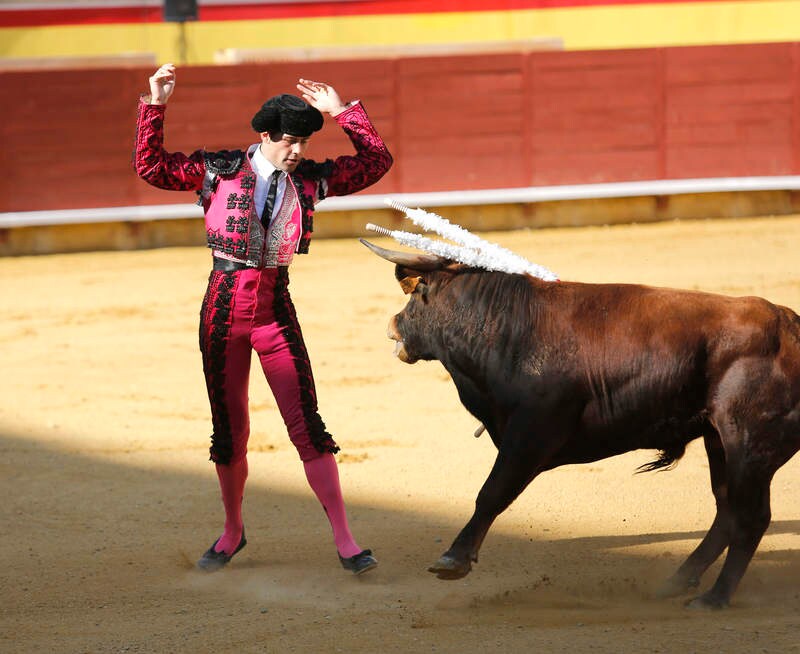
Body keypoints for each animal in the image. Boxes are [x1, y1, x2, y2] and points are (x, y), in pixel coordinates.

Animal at [362, 240, 800, 608]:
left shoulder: (530, 436)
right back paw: (677, 582)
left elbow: (492, 493)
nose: (392, 325)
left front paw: (453, 559)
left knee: (750, 517)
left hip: (749, 443)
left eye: (418, 292)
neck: (505, 326)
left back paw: (714, 598)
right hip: (718, 441)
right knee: (727, 510)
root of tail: (787, 323)